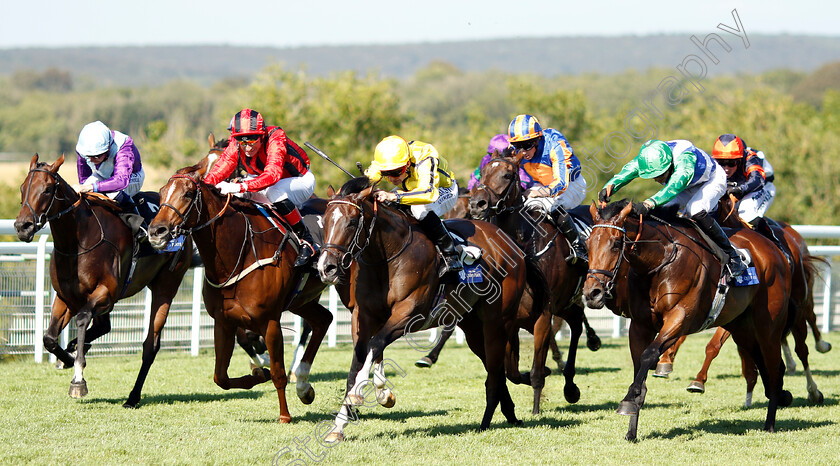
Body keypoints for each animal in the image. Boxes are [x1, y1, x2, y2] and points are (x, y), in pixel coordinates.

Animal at [13, 155, 192, 406]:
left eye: (47, 189)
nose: (22, 226)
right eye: (22, 188)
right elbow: (49, 338)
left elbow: (81, 319)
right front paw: (68, 358)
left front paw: (78, 378)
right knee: (103, 326)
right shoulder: (66, 297)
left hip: (166, 285)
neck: (78, 242)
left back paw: (133, 397)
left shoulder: (105, 293)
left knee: (150, 345)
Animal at [149, 156, 334, 422]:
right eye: (162, 192)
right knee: (323, 320)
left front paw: (285, 415)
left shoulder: (270, 321)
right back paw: (304, 386)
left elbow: (278, 373)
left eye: (188, 193)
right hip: (303, 300)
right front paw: (258, 374)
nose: (156, 231)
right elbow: (221, 377)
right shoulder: (223, 321)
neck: (240, 252)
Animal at [316, 177, 544, 442]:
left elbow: (375, 345)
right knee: (493, 368)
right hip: (472, 328)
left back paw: (487, 421)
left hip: (497, 321)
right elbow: (360, 359)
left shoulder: (409, 314)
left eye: (352, 222)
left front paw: (364, 393)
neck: (387, 257)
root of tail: (511, 245)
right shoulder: (363, 316)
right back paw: (509, 413)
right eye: (324, 221)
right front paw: (339, 426)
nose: (326, 268)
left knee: (496, 369)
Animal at [470, 151, 600, 414]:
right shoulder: (509, 320)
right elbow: (511, 372)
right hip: (565, 303)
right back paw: (570, 384)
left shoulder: (543, 315)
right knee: (576, 321)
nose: (477, 204)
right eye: (483, 172)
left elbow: (537, 372)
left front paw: (536, 410)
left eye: (507, 174)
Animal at [584, 200, 796, 440]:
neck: (660, 260)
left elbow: (649, 354)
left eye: (616, 244)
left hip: (768, 326)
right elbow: (639, 365)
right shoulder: (640, 325)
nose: (593, 293)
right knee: (766, 365)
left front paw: (629, 401)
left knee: (774, 367)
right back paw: (780, 396)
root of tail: (776, 250)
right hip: (742, 328)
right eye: (588, 243)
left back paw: (770, 423)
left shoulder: (679, 318)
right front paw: (632, 428)